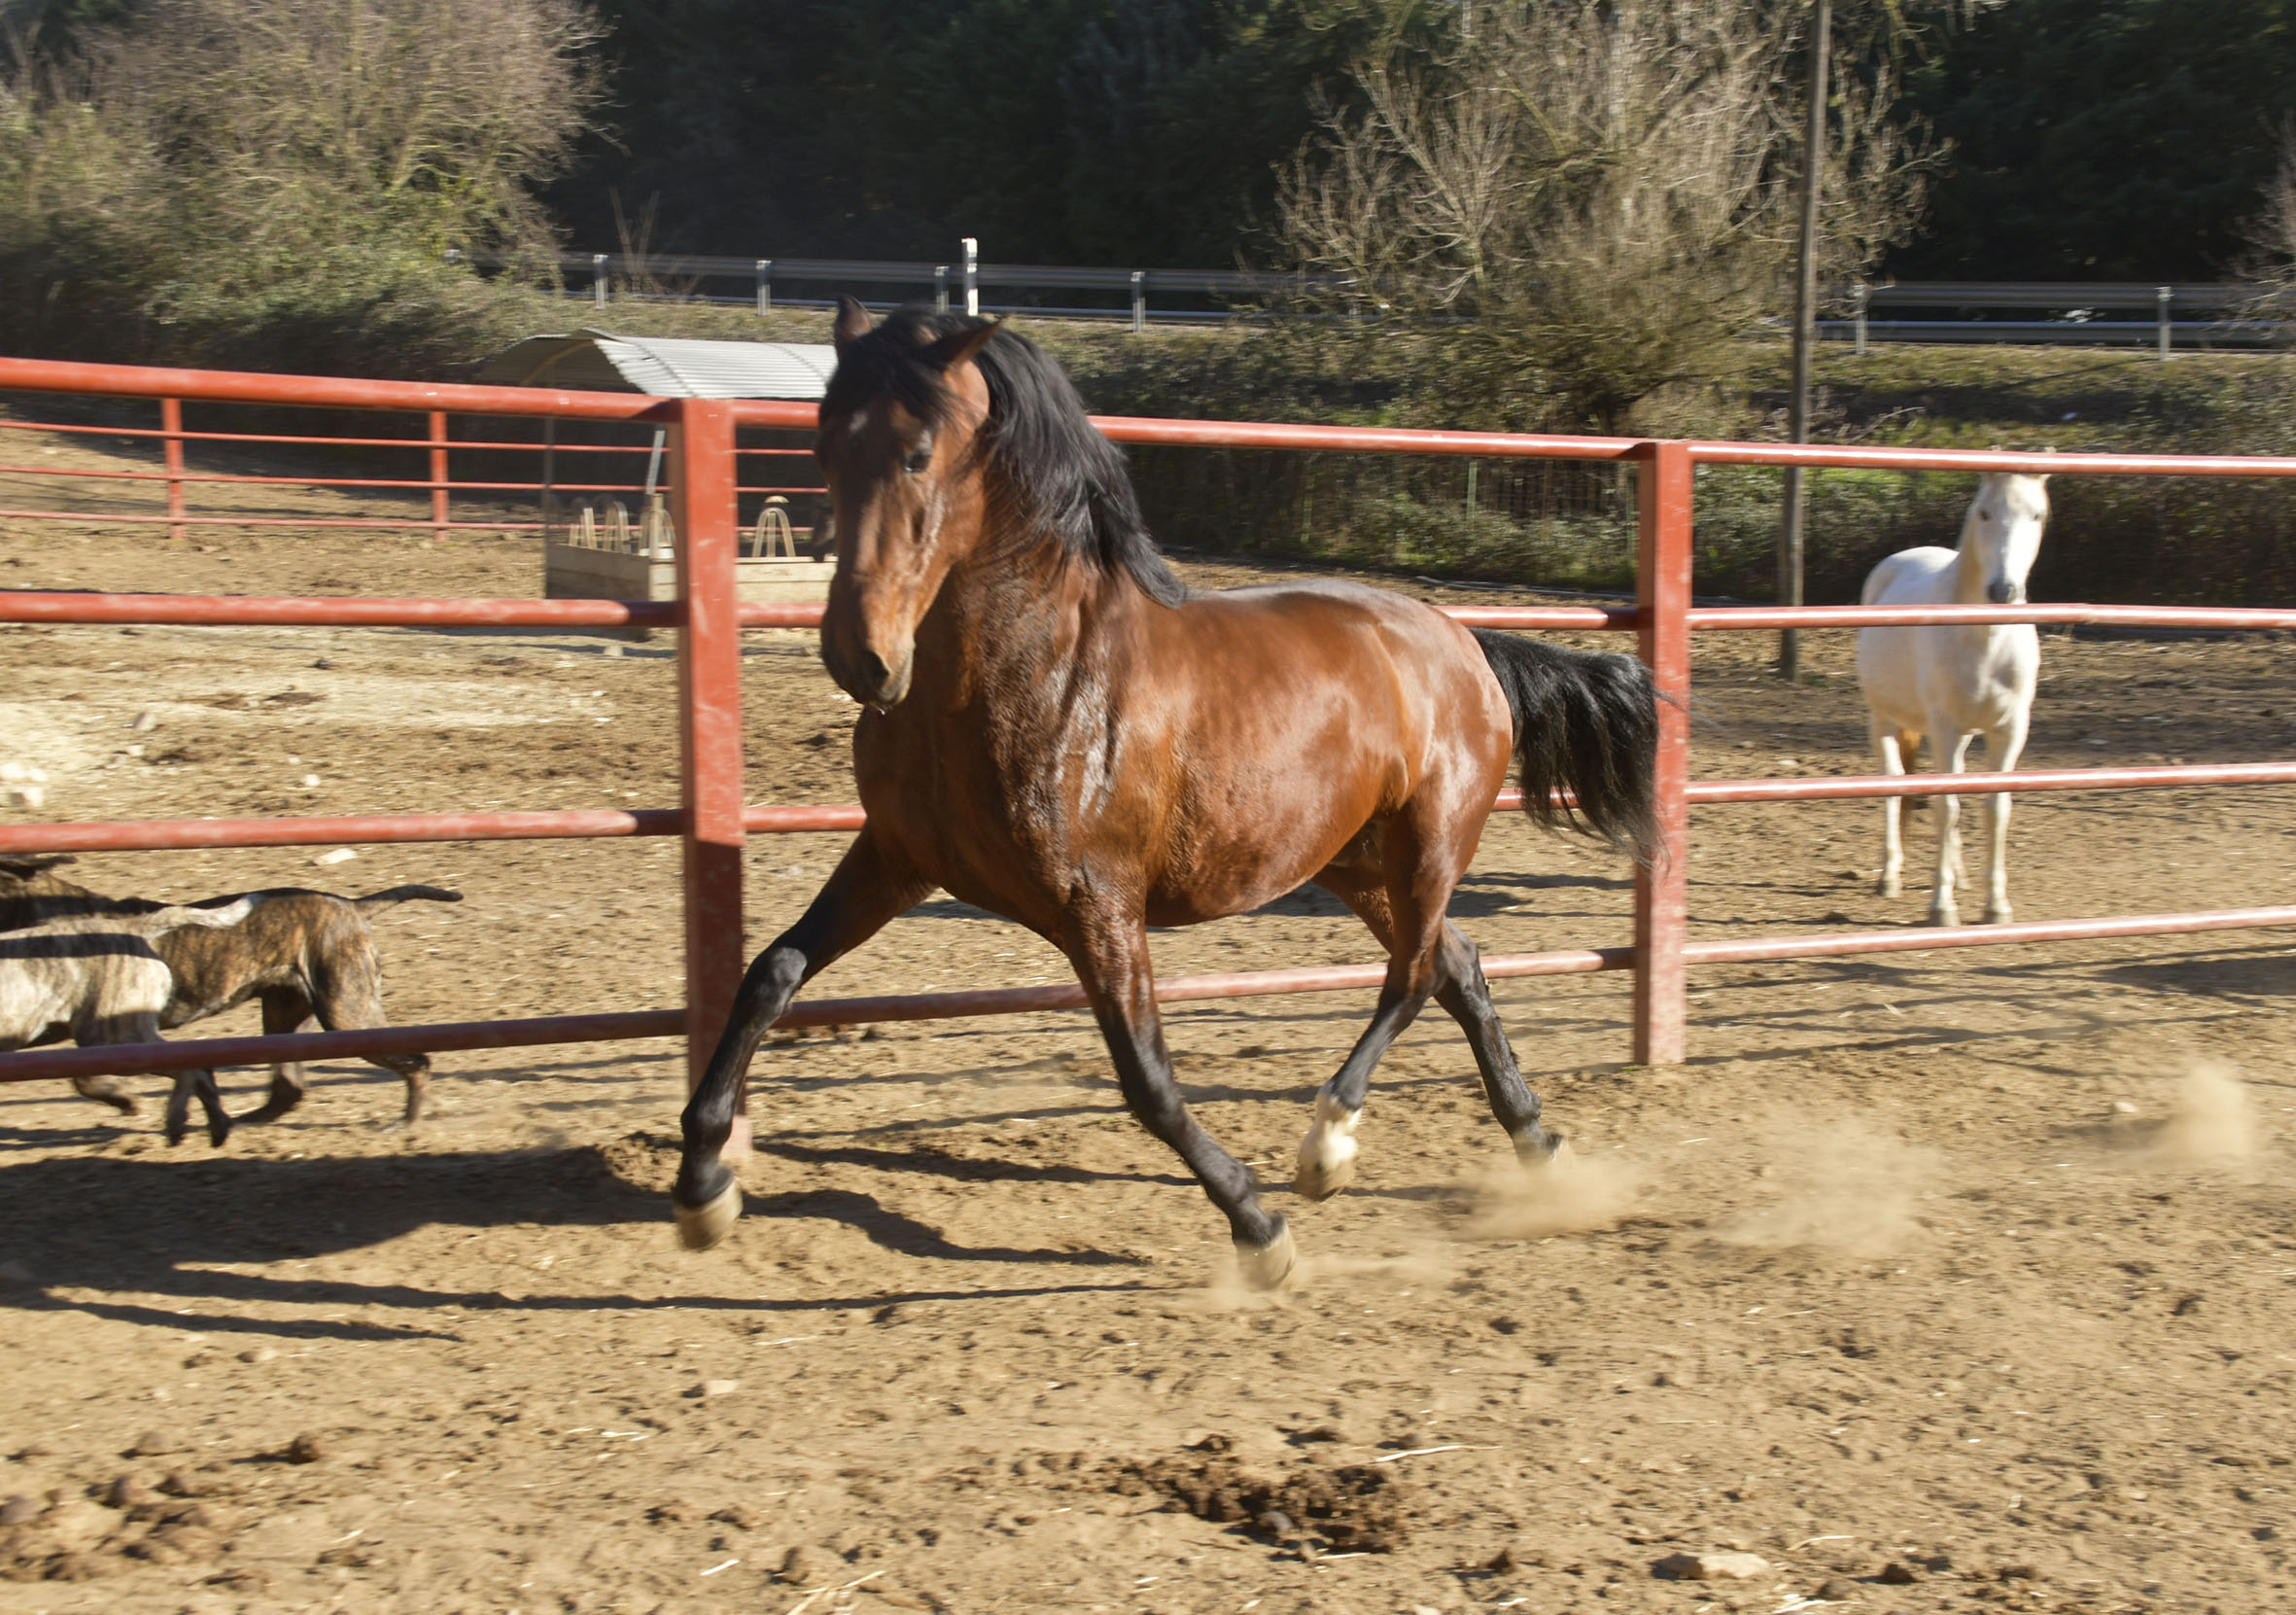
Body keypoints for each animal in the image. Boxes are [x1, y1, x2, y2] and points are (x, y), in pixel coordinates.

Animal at [670, 300, 1662, 1286]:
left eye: (917, 453)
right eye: (823, 447)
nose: (860, 656)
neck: (1026, 679)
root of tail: (1462, 639)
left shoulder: (1098, 903)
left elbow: (1145, 1076)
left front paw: (1258, 1229)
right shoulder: (895, 858)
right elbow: (770, 974)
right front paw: (703, 1183)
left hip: (1427, 844)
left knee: (1414, 973)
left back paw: (1327, 1147)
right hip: (1354, 861)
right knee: (1457, 966)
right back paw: (1538, 1146)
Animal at [1855, 473, 2057, 928]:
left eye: (2037, 514)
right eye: (1983, 512)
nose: (2003, 589)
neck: (1987, 640)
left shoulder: (2010, 729)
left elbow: (1994, 809)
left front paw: (1995, 905)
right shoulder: (1944, 727)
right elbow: (1945, 806)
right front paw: (1941, 907)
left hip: (1962, 733)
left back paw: (1960, 875)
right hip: (1883, 719)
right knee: (1895, 782)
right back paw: (1890, 876)